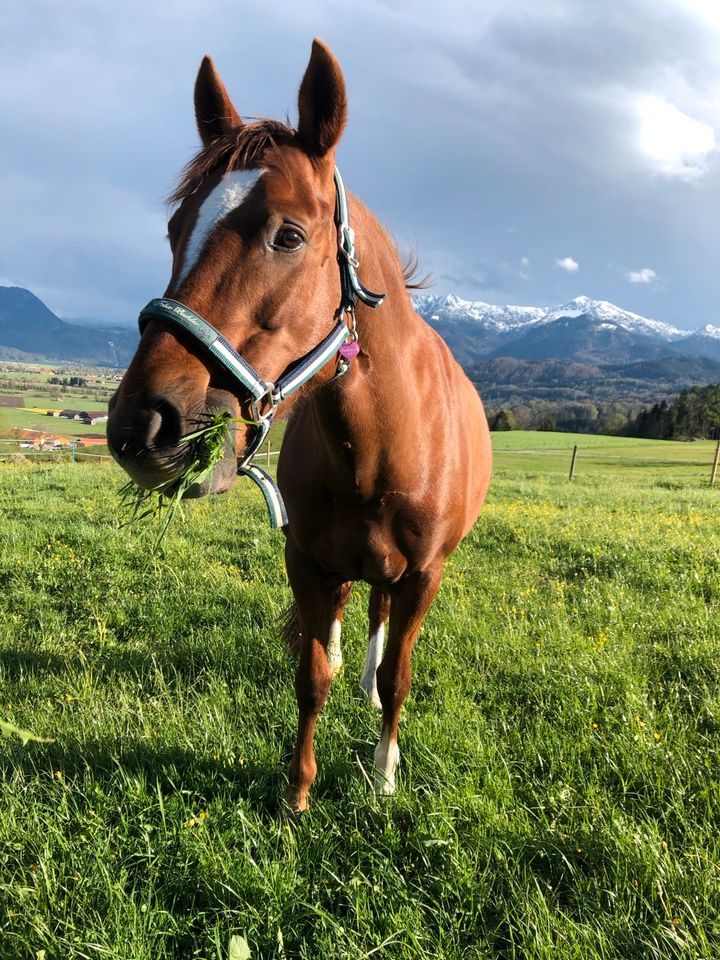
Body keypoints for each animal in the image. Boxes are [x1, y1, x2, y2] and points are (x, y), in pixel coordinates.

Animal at [107, 41, 492, 812]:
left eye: (288, 235)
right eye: (175, 229)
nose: (144, 424)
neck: (382, 449)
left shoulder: (424, 575)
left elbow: (400, 677)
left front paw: (382, 777)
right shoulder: (307, 562)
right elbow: (311, 677)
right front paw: (297, 793)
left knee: (379, 622)